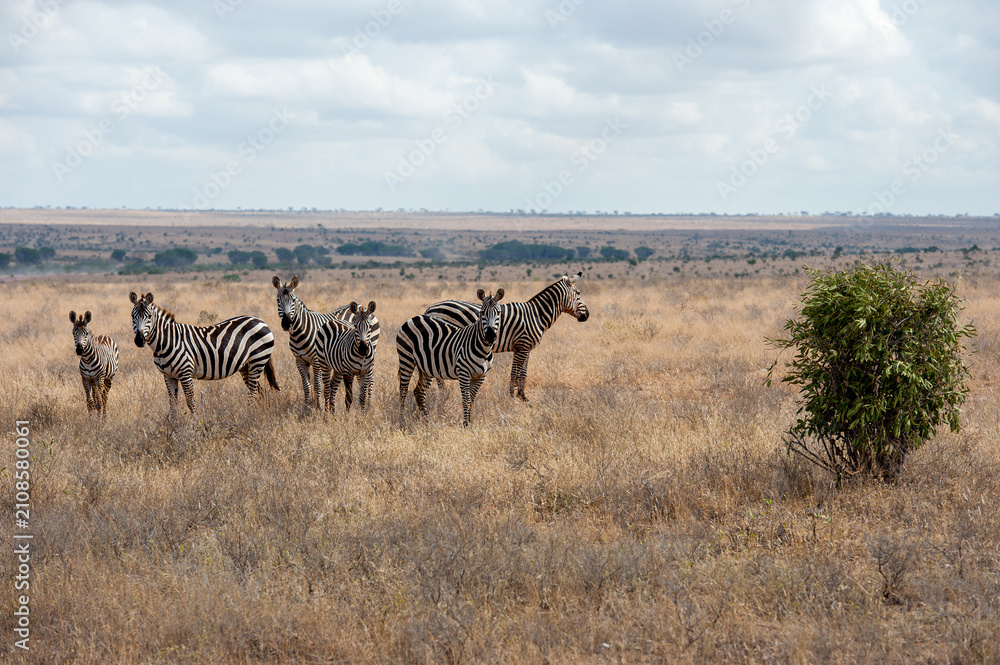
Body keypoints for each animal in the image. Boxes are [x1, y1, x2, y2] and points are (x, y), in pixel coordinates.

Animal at [129, 291, 279, 414]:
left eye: (149, 316)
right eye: (132, 316)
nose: (139, 340)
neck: (165, 343)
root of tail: (260, 321)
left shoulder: (185, 373)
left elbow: (190, 402)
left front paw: (194, 426)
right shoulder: (168, 376)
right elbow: (173, 405)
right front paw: (173, 428)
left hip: (257, 361)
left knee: (253, 393)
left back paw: (249, 416)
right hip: (246, 366)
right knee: (260, 392)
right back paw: (258, 413)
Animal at [272, 275, 381, 410]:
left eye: (293, 301)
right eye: (278, 300)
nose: (287, 323)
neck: (298, 333)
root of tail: (364, 307)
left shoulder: (316, 360)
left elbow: (317, 385)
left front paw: (318, 407)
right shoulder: (299, 360)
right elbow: (306, 386)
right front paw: (306, 407)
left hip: (371, 347)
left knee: (371, 377)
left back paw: (369, 404)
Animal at [397, 288, 504, 426]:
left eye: (499, 312)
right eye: (481, 312)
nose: (490, 336)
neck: (483, 349)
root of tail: (415, 317)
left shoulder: (480, 376)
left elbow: (472, 400)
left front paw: (470, 422)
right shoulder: (464, 373)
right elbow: (466, 400)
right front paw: (466, 424)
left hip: (426, 367)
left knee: (419, 391)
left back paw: (427, 422)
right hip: (406, 359)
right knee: (403, 391)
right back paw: (401, 420)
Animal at [424, 272, 589, 405]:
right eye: (578, 293)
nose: (587, 315)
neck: (536, 315)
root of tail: (431, 308)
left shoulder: (524, 348)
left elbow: (523, 372)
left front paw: (522, 397)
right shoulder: (523, 345)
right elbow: (515, 372)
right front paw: (513, 397)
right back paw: (443, 395)